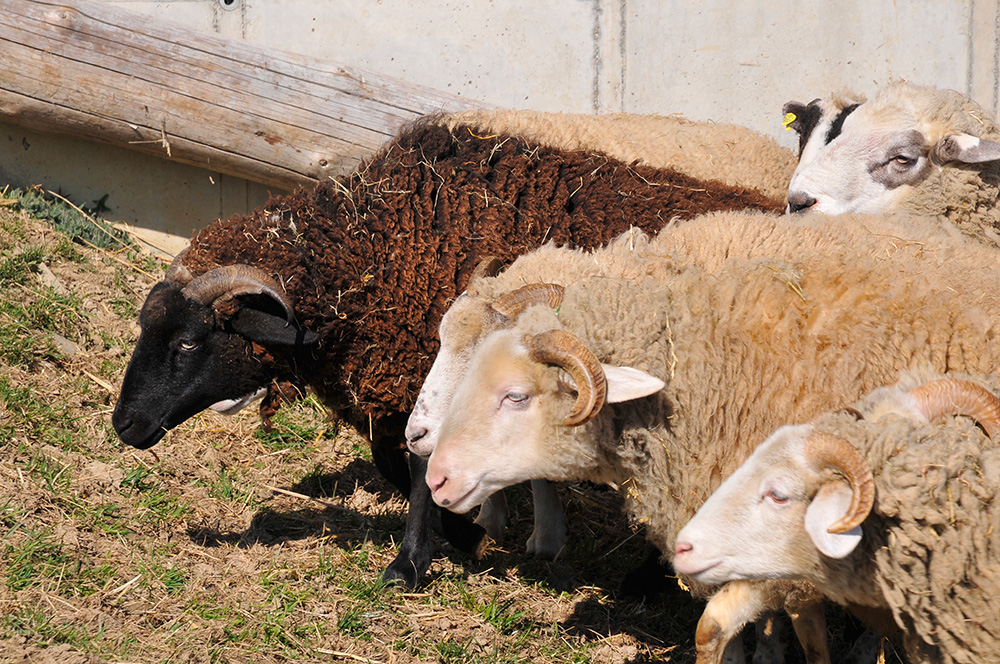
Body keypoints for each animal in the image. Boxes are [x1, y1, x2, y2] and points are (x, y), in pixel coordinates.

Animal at [111, 110, 788, 590]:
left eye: (189, 341)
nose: (125, 425)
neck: (377, 249)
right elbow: (399, 458)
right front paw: (464, 529)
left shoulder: (425, 370)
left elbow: (416, 463)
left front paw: (417, 558)